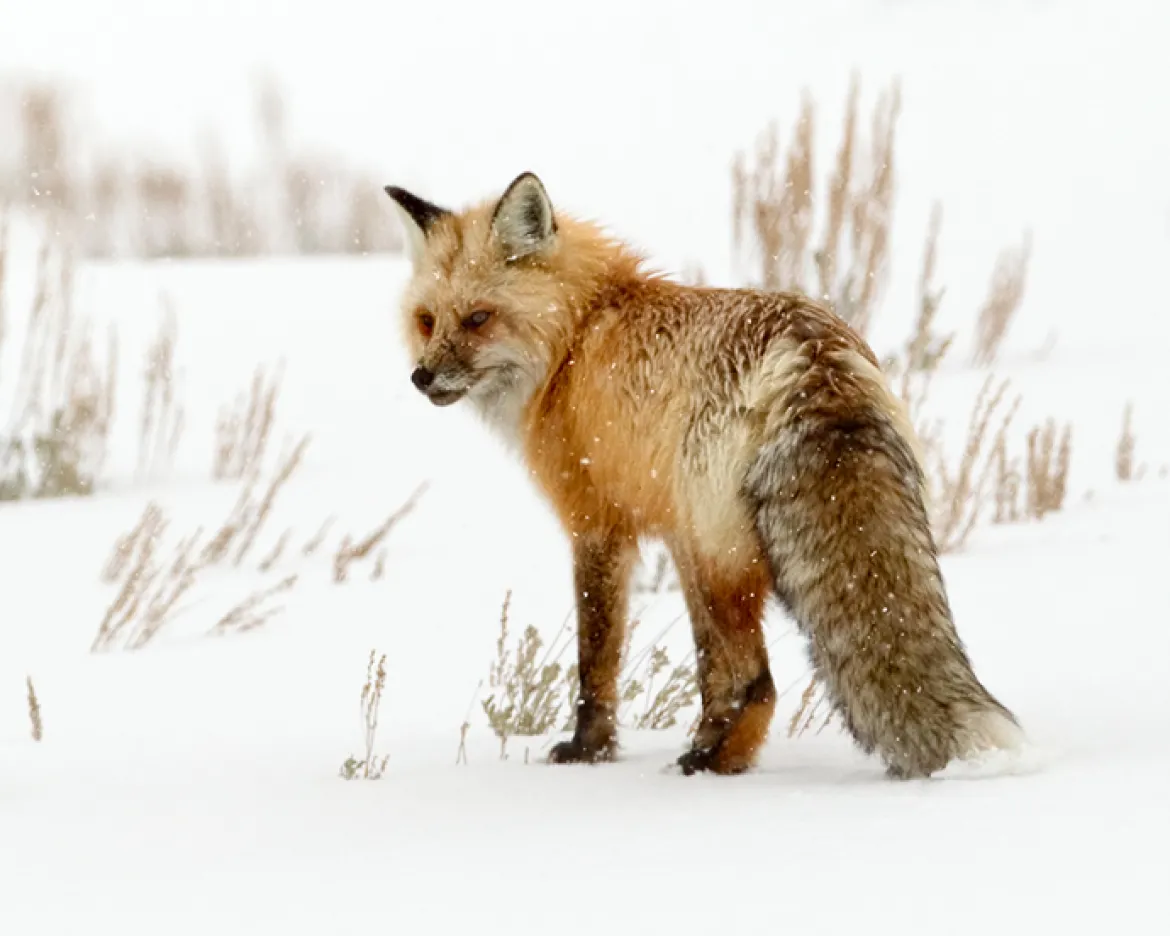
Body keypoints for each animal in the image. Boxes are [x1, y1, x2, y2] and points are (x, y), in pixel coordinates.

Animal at [383, 171, 1023, 779]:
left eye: (478, 319)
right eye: (427, 321)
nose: (422, 377)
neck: (577, 335)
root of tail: (812, 357)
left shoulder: (597, 523)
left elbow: (597, 658)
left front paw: (588, 750)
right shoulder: (669, 530)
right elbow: (701, 670)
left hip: (716, 557)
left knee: (757, 681)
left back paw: (708, 765)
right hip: (715, 546)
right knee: (741, 676)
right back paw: (714, 758)